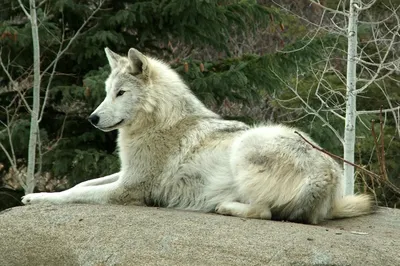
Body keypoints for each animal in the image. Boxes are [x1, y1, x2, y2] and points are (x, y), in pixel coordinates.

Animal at [21, 46, 372, 223]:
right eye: (108, 92)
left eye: (121, 93)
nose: (92, 118)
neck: (161, 122)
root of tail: (329, 178)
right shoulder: (125, 173)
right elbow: (81, 184)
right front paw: (36, 193)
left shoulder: (127, 190)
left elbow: (71, 195)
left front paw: (36, 198)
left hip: (247, 146)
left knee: (264, 211)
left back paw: (226, 207)